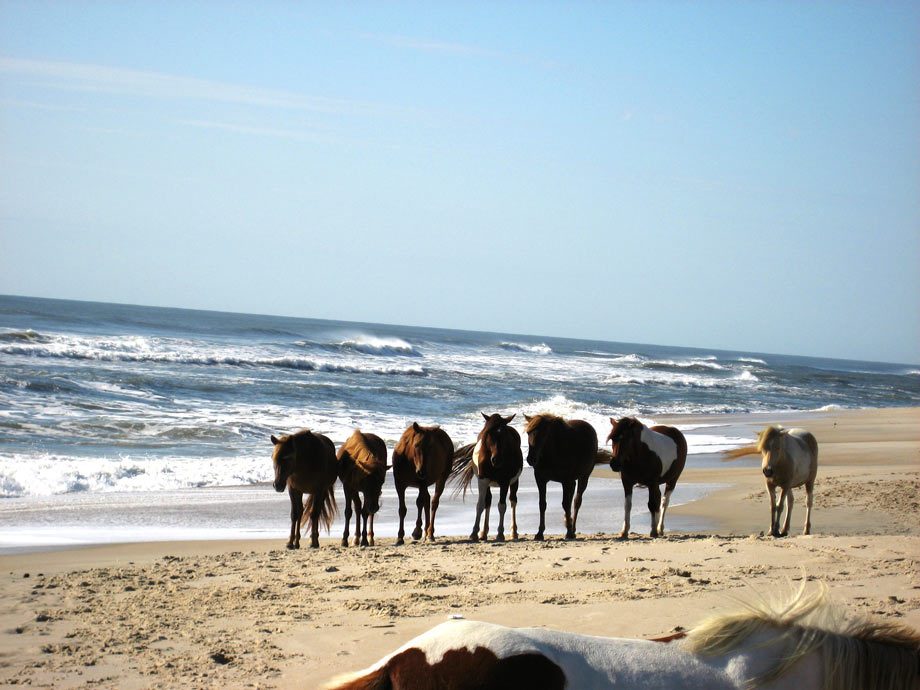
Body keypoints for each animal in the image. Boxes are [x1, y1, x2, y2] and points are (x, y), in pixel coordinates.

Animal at [452, 412, 524, 540]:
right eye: (488, 434)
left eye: (504, 435)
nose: (496, 459)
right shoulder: (483, 480)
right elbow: (480, 505)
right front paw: (474, 533)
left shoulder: (505, 482)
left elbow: (502, 506)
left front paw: (500, 534)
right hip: (489, 484)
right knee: (488, 502)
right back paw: (484, 532)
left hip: (515, 481)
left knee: (513, 501)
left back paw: (514, 532)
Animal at [520, 412, 600, 540]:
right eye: (528, 433)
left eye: (544, 434)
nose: (531, 459)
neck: (552, 452)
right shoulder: (540, 480)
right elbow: (542, 504)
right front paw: (540, 533)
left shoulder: (565, 481)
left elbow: (566, 504)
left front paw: (569, 532)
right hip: (572, 481)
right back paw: (569, 523)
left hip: (584, 477)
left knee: (576, 502)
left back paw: (572, 529)